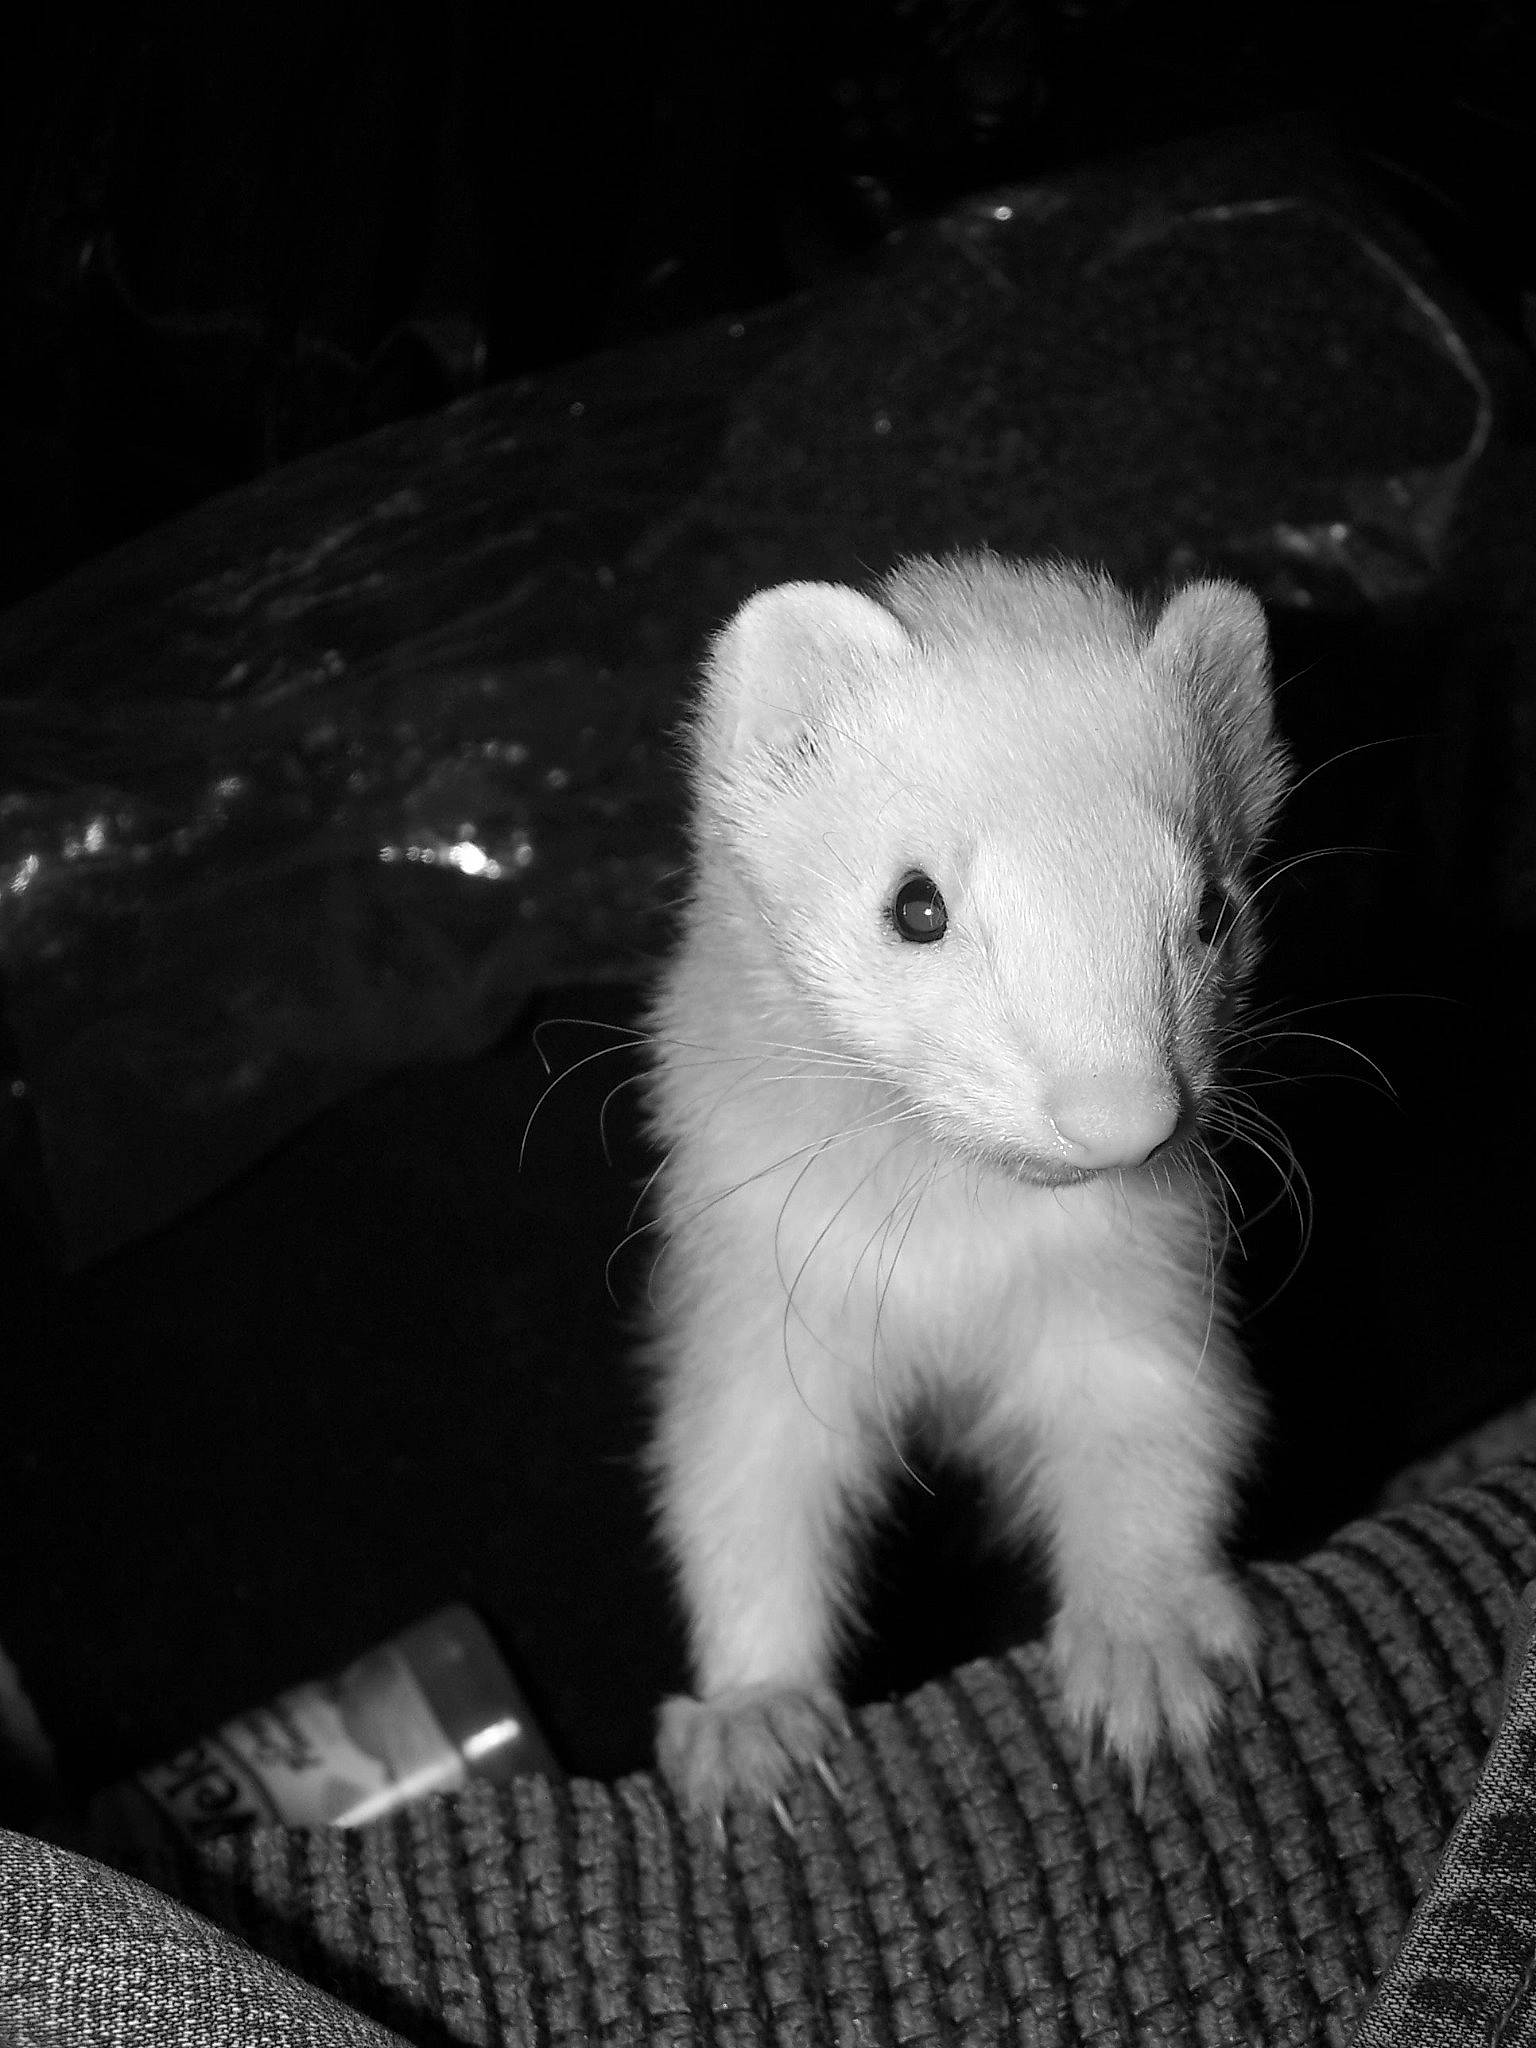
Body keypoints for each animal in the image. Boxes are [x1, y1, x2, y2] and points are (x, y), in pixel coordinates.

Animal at [639, 551, 1290, 1818]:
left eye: (1212, 904)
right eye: (916, 901)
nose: (1119, 1108)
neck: (951, 1266)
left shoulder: (1141, 1292)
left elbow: (1161, 1432)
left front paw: (1144, 1645)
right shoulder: (758, 1300)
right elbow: (741, 1484)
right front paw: (753, 1720)